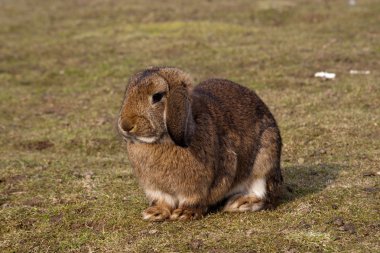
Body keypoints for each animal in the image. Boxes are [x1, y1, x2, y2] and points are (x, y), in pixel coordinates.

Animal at [119, 66, 282, 221]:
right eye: (127, 93)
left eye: (157, 96)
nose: (126, 125)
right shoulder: (156, 189)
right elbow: (163, 201)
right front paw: (154, 213)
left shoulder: (198, 187)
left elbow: (195, 200)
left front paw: (184, 213)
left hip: (265, 159)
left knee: (264, 192)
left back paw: (240, 203)